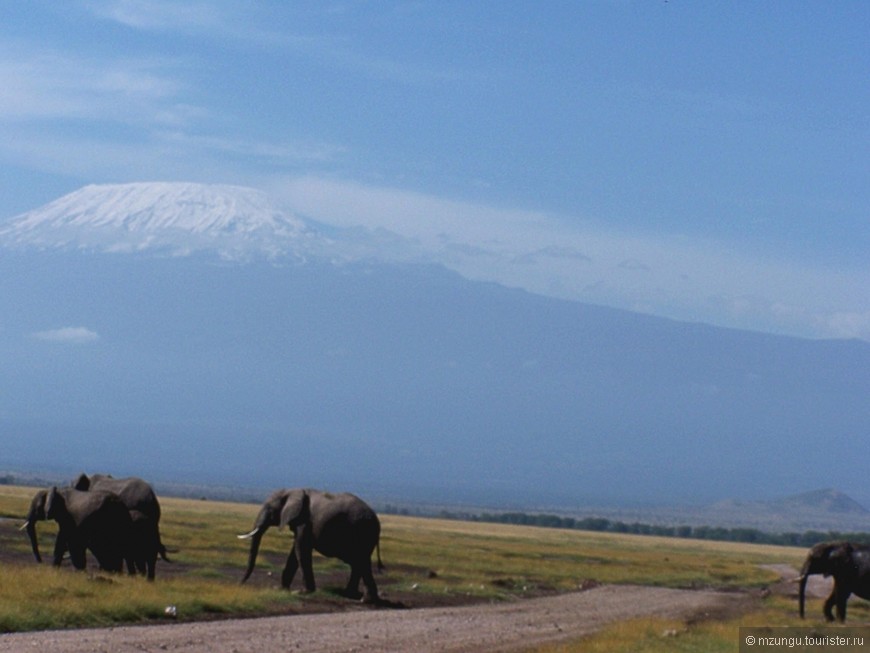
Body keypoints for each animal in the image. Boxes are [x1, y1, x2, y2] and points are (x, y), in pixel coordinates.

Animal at [237, 486, 384, 604]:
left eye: (269, 509)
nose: (240, 584)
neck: (292, 491)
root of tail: (377, 520)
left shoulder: (304, 522)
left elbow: (300, 549)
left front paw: (302, 592)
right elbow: (294, 552)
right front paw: (280, 589)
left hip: (363, 531)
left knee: (361, 562)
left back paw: (365, 600)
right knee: (358, 564)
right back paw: (351, 594)